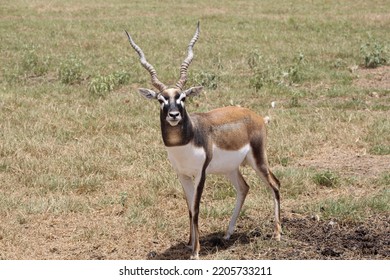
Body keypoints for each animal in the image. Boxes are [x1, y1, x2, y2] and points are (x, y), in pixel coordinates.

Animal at [126, 22, 282, 260]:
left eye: (182, 97)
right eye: (162, 99)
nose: (174, 115)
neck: (185, 143)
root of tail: (256, 116)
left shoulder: (201, 174)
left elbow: (197, 208)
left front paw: (196, 252)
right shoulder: (182, 174)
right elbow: (189, 208)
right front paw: (190, 244)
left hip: (258, 160)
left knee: (275, 184)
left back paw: (277, 234)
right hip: (231, 168)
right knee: (244, 188)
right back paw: (228, 233)